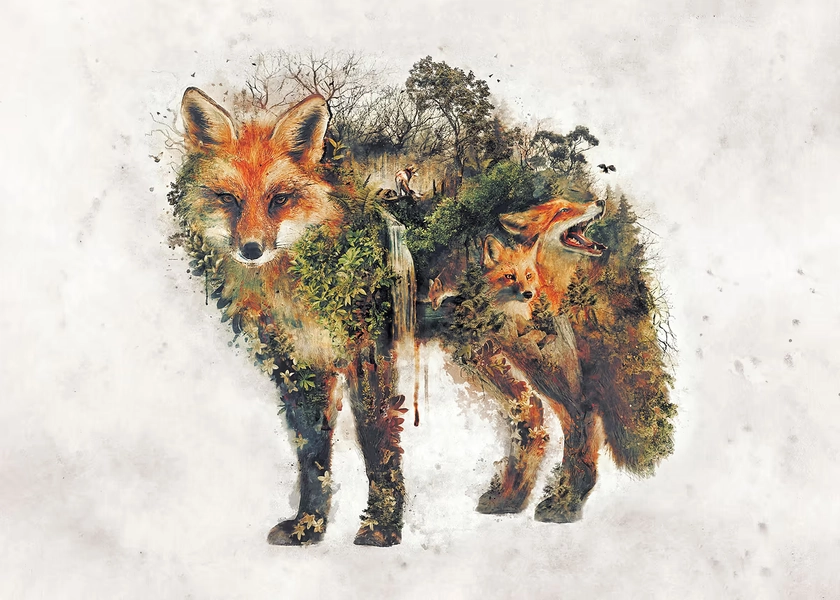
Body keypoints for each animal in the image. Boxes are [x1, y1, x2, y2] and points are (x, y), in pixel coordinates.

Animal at [174, 87, 406, 547]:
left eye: (278, 199)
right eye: (228, 199)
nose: (250, 249)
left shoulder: (368, 353)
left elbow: (378, 444)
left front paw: (382, 526)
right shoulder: (299, 364)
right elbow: (312, 455)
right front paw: (308, 527)